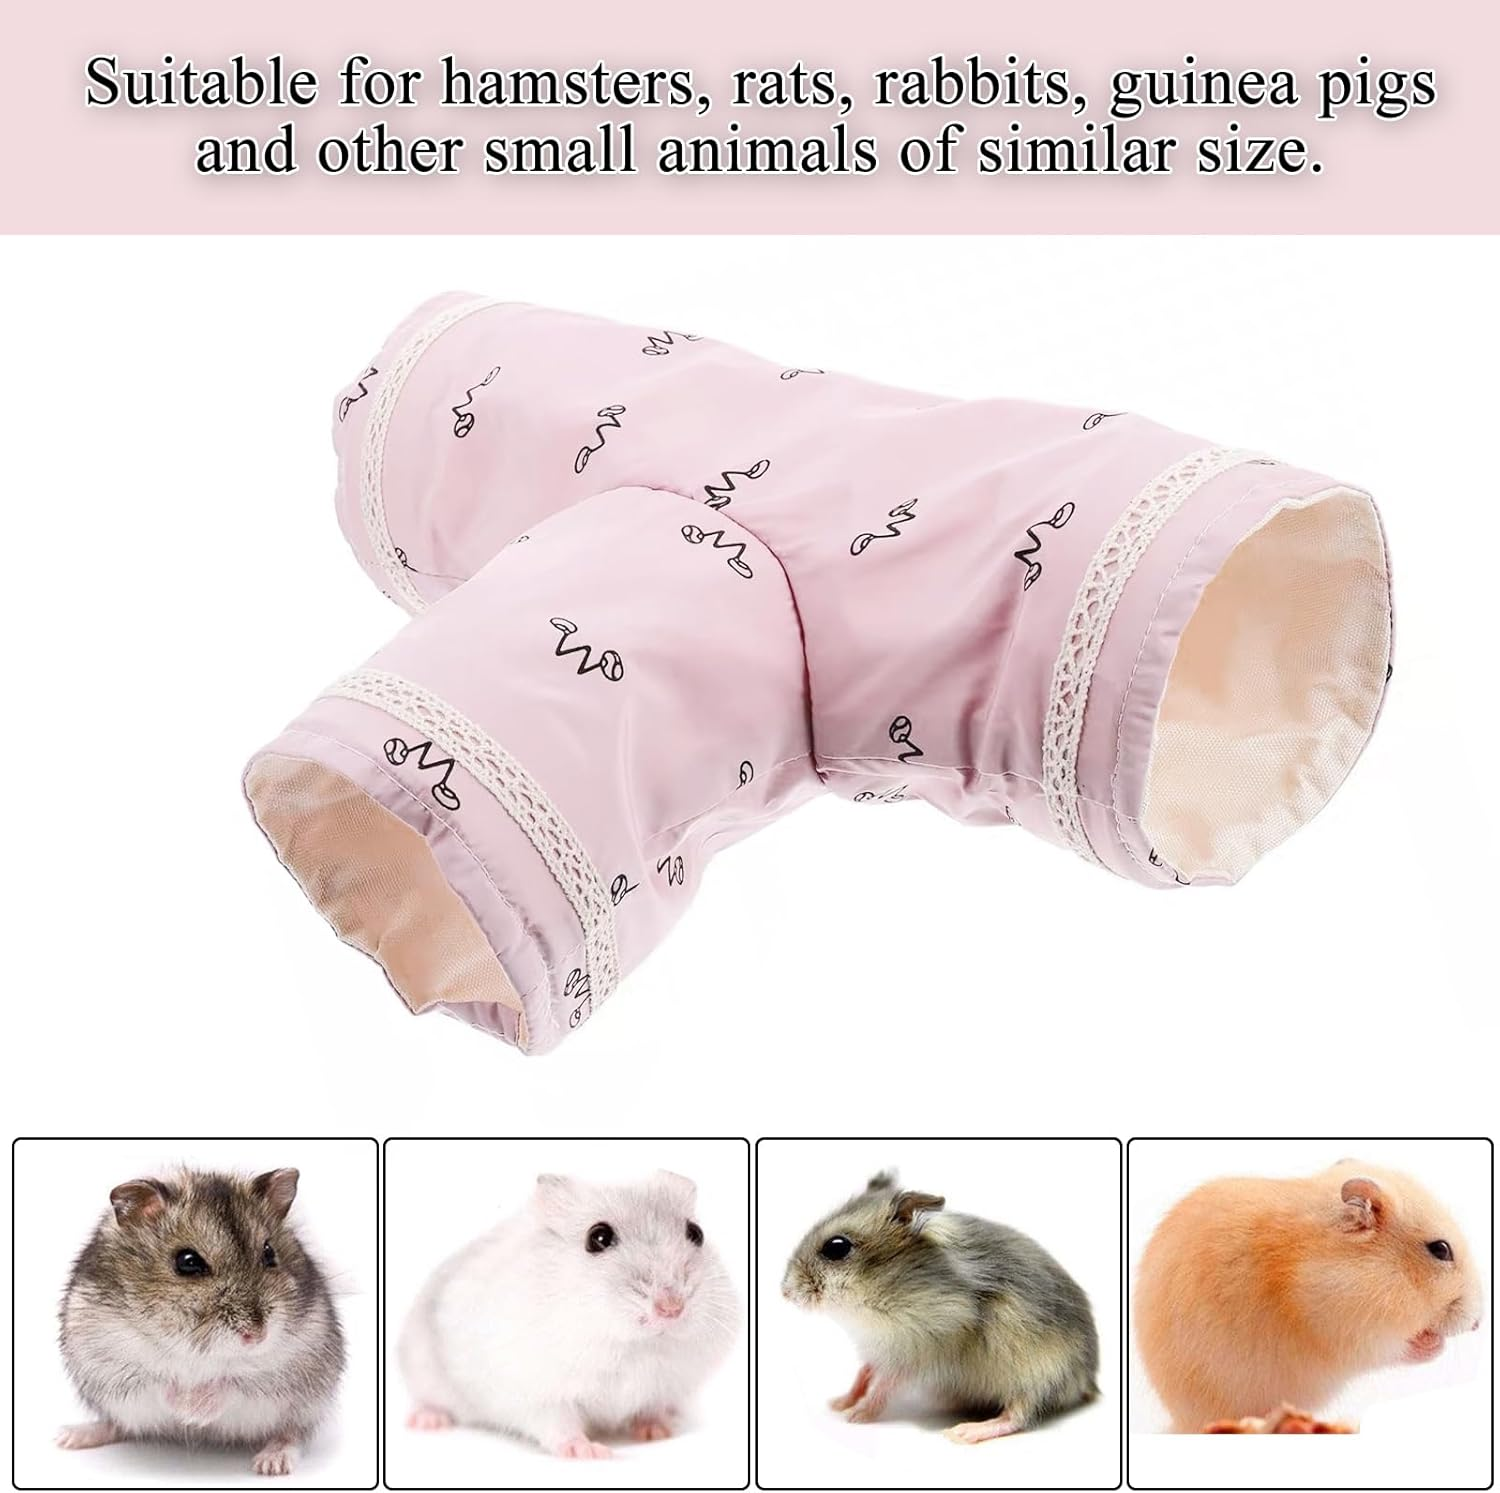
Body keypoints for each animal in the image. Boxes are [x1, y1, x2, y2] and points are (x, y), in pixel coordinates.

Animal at [57, 1167, 345, 1476]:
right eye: (188, 1261)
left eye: (269, 1253)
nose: (257, 1336)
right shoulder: (112, 1361)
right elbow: (158, 1381)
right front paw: (187, 1411)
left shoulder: (293, 1360)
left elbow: (233, 1383)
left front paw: (195, 1413)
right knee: (119, 1424)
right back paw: (70, 1437)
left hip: (306, 1403)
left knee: (293, 1432)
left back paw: (272, 1462)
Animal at [399, 1170, 739, 1458]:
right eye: (598, 1238)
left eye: (696, 1233)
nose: (672, 1308)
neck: (631, 1343)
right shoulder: (539, 1394)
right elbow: (558, 1425)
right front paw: (590, 1452)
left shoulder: (664, 1385)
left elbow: (650, 1409)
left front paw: (658, 1432)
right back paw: (427, 1421)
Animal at [781, 1170, 1100, 1442]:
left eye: (837, 1247)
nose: (784, 1293)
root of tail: (1089, 1380)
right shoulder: (881, 1349)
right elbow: (864, 1373)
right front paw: (838, 1403)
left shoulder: (920, 1349)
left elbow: (884, 1384)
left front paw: (855, 1416)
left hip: (1040, 1374)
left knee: (1021, 1414)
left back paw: (963, 1433)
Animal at [1134, 1159, 1485, 1431]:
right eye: (1440, 1250)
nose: (1479, 1323)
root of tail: (1179, 1422)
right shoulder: (1355, 1331)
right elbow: (1399, 1347)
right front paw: (1434, 1345)